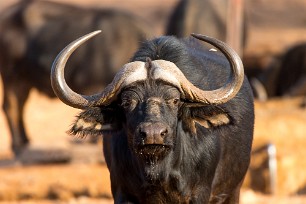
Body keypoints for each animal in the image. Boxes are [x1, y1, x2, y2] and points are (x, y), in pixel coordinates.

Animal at [0, 0, 152, 155]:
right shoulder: (93, 86)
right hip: (11, 76)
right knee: (10, 106)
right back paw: (18, 145)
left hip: (24, 82)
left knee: (20, 106)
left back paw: (26, 141)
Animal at [51, 31, 255, 203]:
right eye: (127, 102)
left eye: (175, 100)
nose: (153, 134)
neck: (159, 170)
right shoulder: (121, 192)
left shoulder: (200, 193)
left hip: (233, 190)